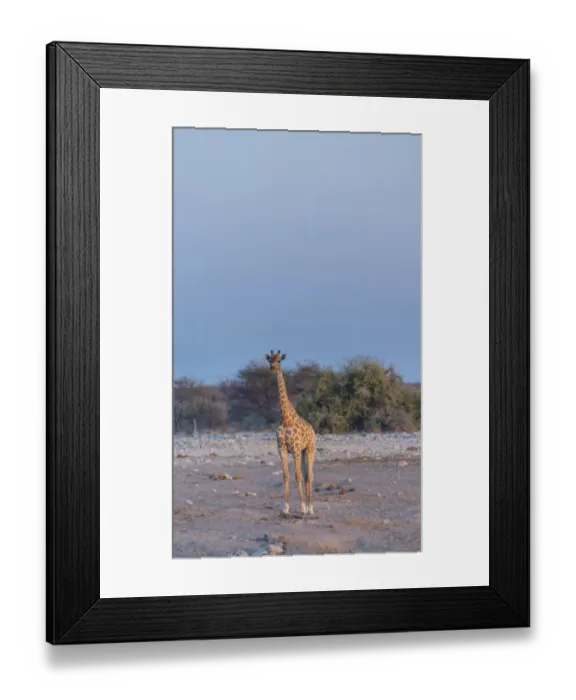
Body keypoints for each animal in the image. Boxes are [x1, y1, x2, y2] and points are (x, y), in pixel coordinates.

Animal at [265, 351, 317, 517]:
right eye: (270, 360)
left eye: (280, 360)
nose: (272, 368)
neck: (286, 418)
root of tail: (313, 431)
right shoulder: (281, 449)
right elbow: (286, 475)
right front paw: (286, 508)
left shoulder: (295, 449)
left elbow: (297, 476)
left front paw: (302, 507)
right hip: (303, 451)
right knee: (307, 475)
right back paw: (308, 506)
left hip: (310, 449)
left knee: (310, 475)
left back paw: (310, 508)